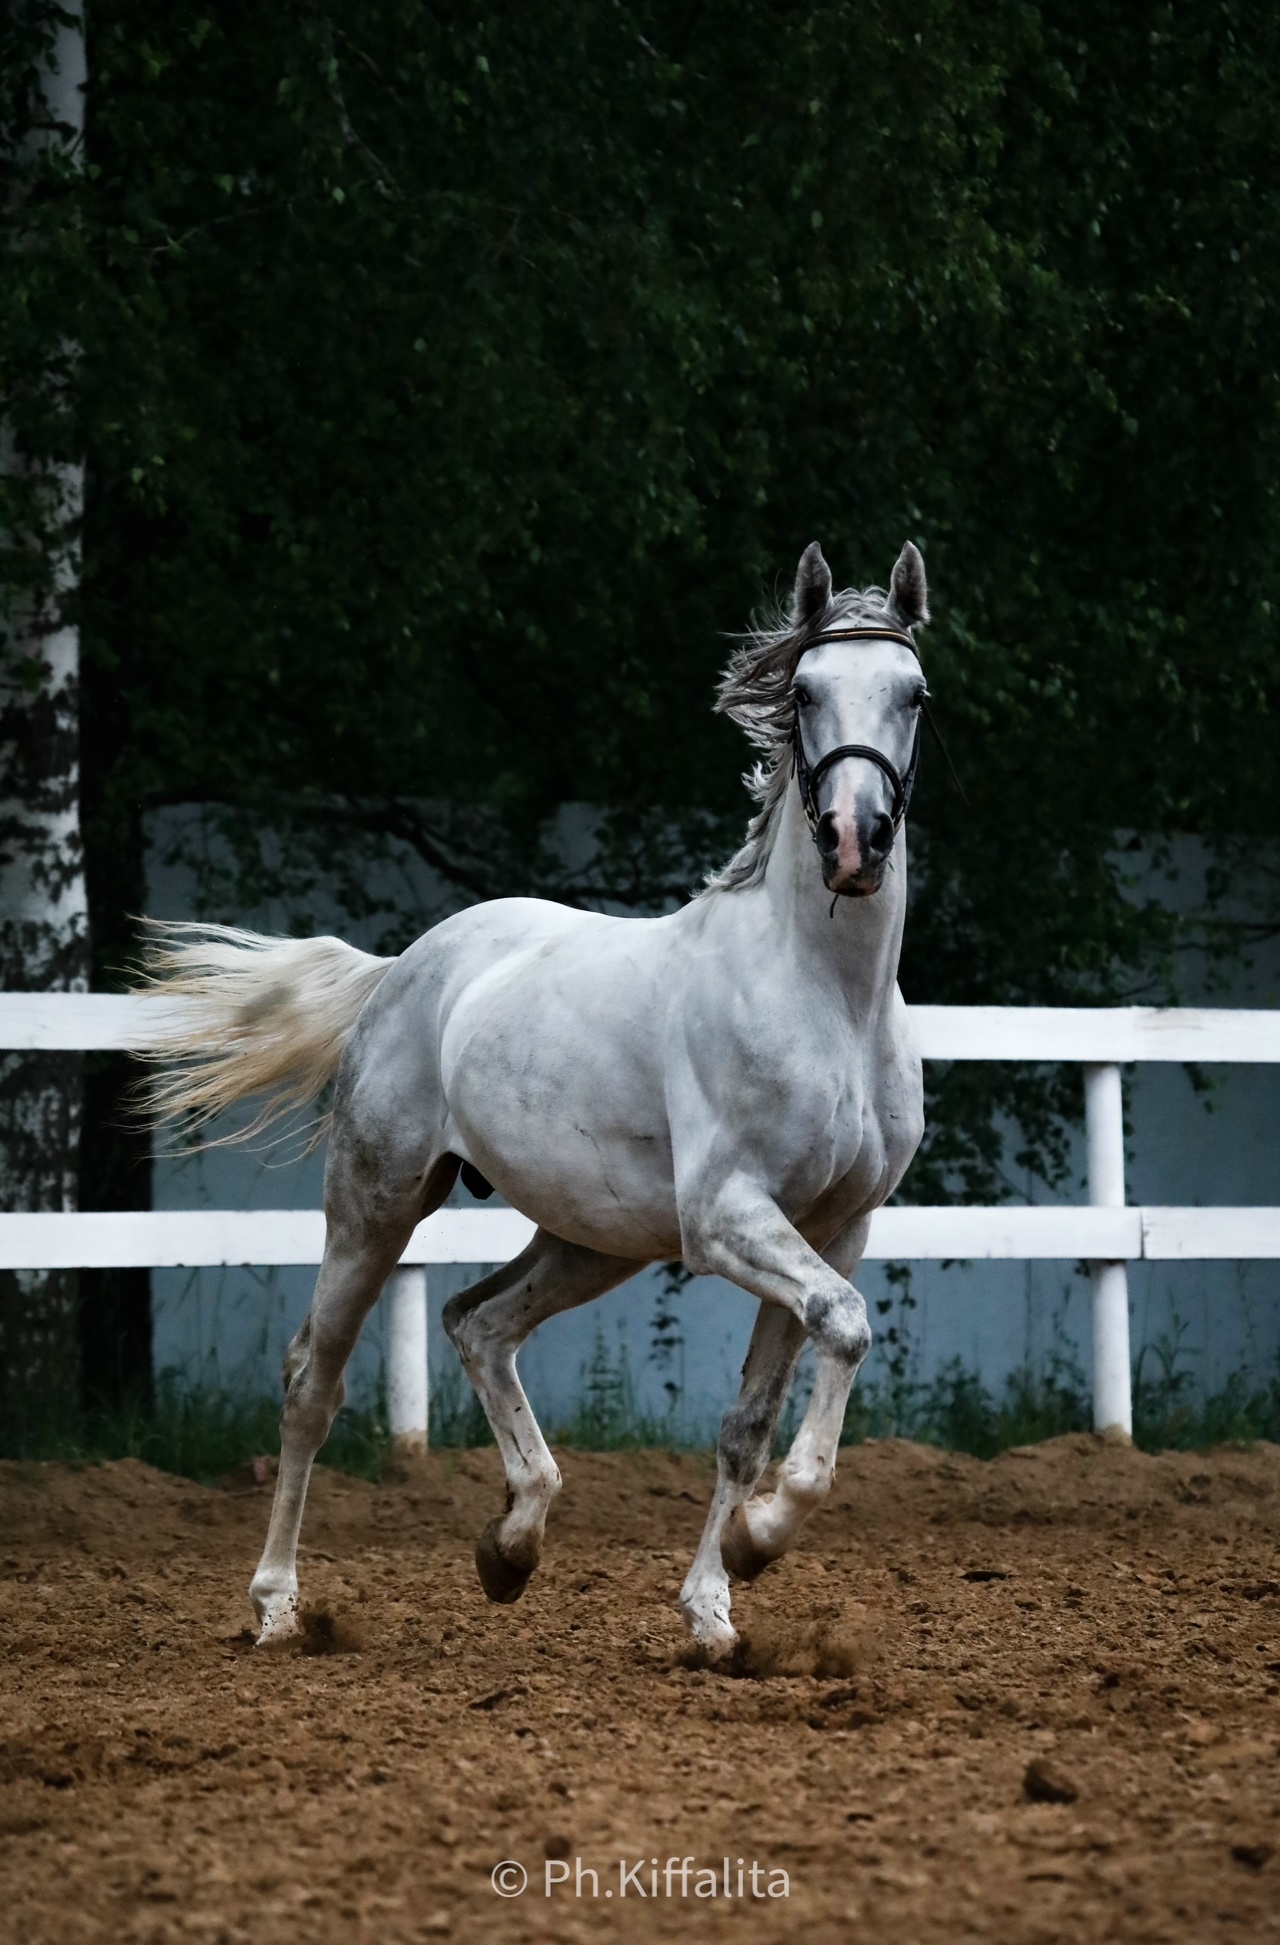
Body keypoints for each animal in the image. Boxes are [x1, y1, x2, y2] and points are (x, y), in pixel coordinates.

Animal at [135, 540, 928, 1657]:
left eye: (914, 693)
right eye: (807, 690)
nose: (856, 841)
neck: (826, 998)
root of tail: (401, 968)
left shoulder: (834, 1227)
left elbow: (753, 1415)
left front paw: (717, 1605)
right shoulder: (728, 1216)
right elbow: (846, 1327)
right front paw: (757, 1540)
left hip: (593, 1237)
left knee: (476, 1321)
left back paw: (511, 1544)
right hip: (377, 1202)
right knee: (313, 1379)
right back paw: (278, 1605)